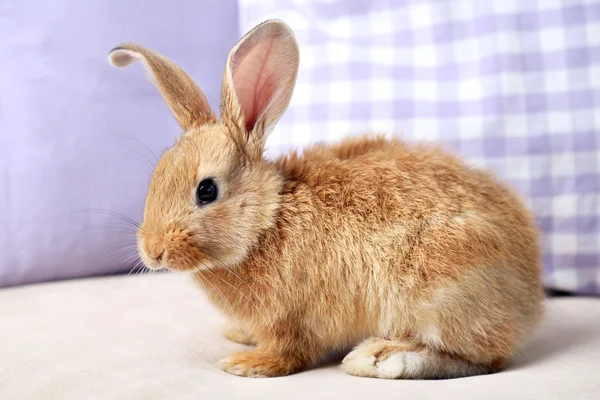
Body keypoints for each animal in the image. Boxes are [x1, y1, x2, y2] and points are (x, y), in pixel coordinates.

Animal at [108, 20, 544, 380]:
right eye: (158, 175)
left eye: (207, 190)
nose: (153, 252)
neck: (267, 221)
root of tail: (528, 295)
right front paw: (238, 335)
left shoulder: (290, 318)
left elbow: (288, 352)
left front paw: (246, 364)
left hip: (440, 288)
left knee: (482, 357)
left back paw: (380, 358)